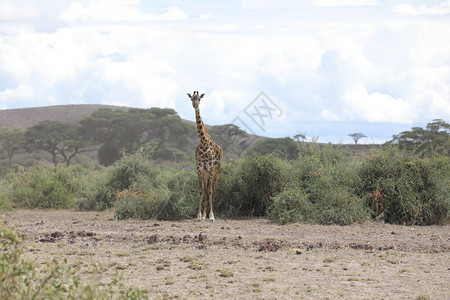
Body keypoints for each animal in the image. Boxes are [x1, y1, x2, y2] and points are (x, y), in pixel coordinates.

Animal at [186, 90, 221, 221]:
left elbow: (209, 190)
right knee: (206, 187)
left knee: (213, 187)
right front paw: (200, 215)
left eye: (199, 99)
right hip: (206, 171)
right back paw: (205, 214)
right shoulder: (200, 167)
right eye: (191, 98)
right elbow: (201, 190)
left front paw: (211, 216)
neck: (204, 142)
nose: (195, 105)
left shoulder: (210, 167)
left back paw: (210, 213)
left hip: (217, 169)